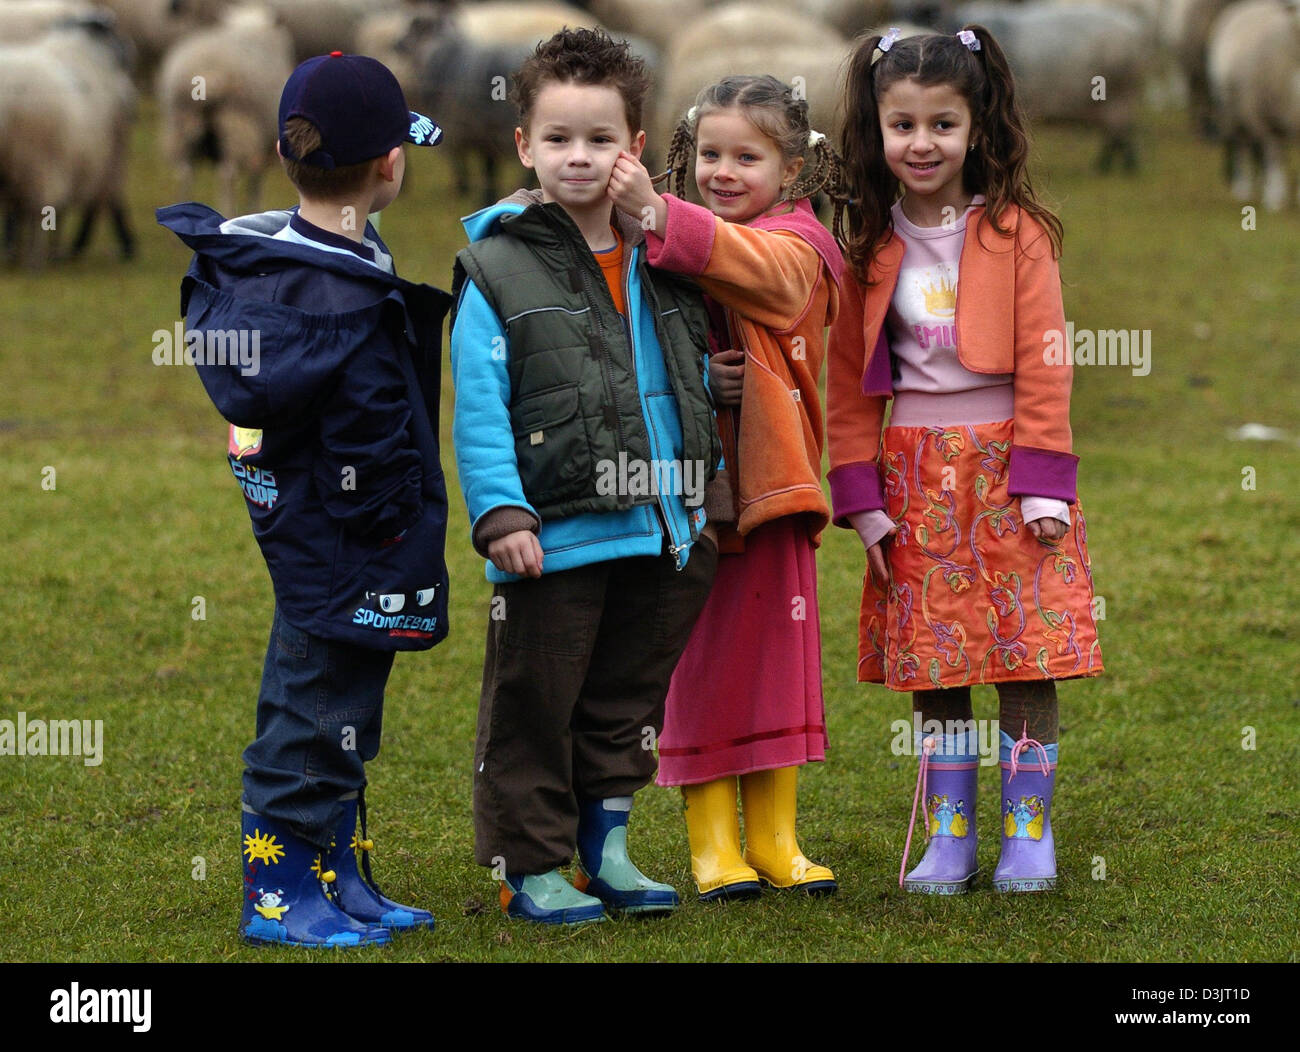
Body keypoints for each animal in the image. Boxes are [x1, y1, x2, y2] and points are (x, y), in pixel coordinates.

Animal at [156, 5, 293, 219]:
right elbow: (255, 186)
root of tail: (209, 75)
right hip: (235, 126)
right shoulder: (262, 146)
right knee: (227, 175)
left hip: (181, 124)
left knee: (185, 172)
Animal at [1206, 0, 1300, 211]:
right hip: (1233, 113)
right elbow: (1272, 157)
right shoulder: (1266, 120)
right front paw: (1273, 199)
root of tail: (1251, 4)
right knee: (1243, 147)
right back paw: (1243, 188)